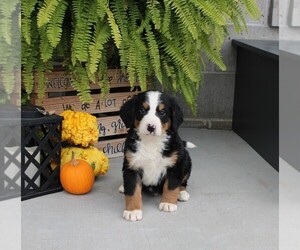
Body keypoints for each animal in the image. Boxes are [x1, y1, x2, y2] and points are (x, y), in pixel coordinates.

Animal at [118, 91, 193, 222]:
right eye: (142, 110)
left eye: (162, 113)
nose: (151, 127)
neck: (151, 143)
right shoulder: (132, 166)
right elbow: (132, 190)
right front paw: (133, 211)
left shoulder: (174, 165)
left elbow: (171, 186)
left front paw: (168, 203)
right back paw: (123, 186)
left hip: (186, 160)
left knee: (183, 182)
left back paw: (182, 193)